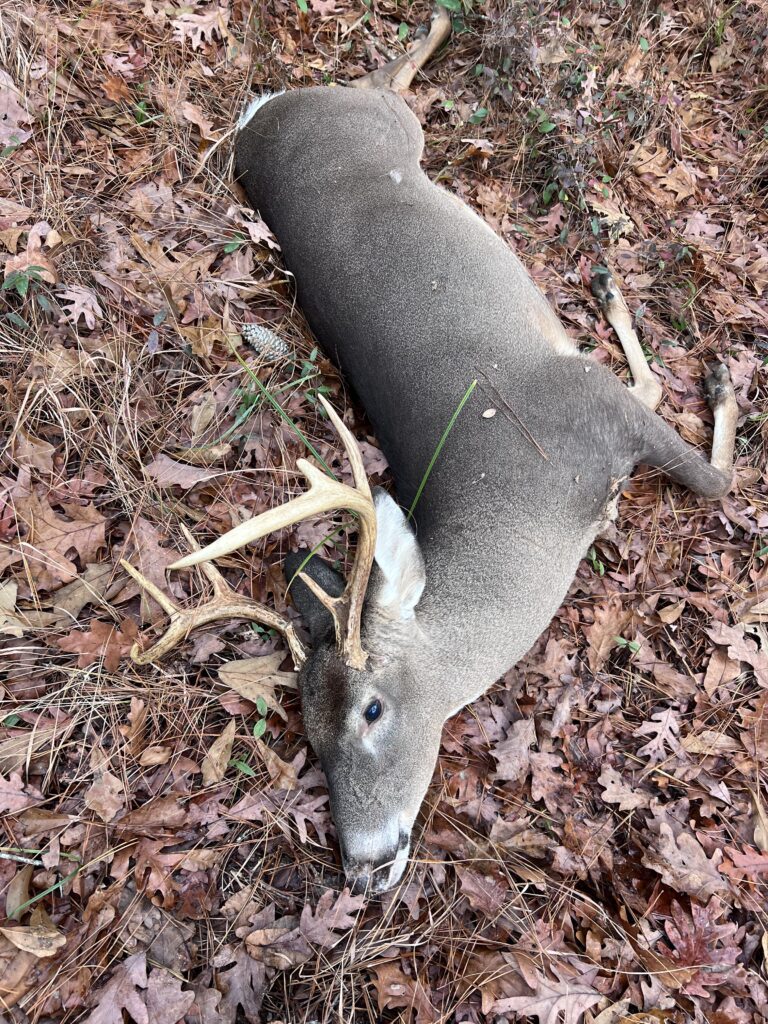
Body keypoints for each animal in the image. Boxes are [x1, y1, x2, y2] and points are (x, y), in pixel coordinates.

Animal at [121, 7, 738, 893]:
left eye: (372, 707)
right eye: (308, 731)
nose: (365, 866)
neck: (535, 499)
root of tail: (262, 122)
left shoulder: (590, 398)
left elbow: (711, 472)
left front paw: (714, 372)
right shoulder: (595, 403)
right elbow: (678, 423)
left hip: (384, 122)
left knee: (383, 77)